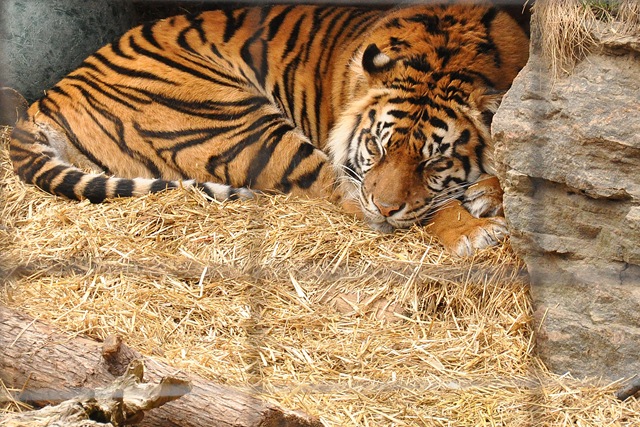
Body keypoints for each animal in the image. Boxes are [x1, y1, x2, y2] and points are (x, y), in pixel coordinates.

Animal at [5, 4, 529, 256]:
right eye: (377, 149)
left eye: (434, 161)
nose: (384, 207)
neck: (448, 56)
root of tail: (48, 97)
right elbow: (418, 208)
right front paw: (473, 229)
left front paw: (489, 191)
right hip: (242, 122)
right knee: (340, 195)